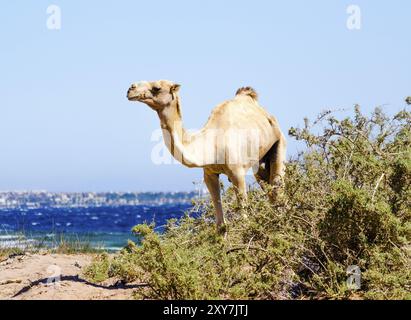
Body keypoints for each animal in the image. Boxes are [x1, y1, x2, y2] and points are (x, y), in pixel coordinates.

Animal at [125, 80, 286, 230]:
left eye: (157, 88)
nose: (130, 89)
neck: (210, 145)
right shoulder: (209, 173)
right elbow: (221, 225)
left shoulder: (237, 173)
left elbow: (244, 219)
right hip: (259, 162)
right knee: (269, 188)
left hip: (279, 143)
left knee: (277, 190)